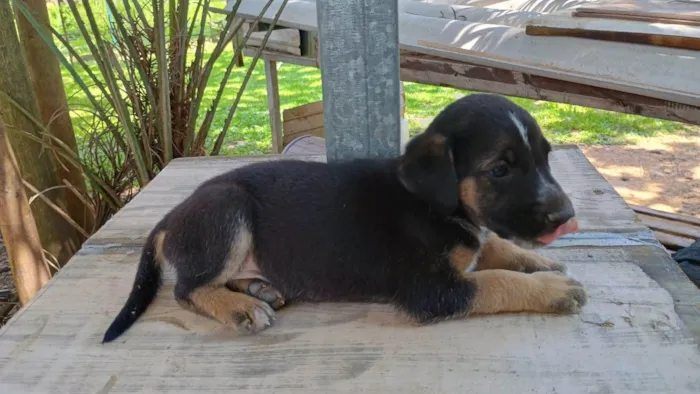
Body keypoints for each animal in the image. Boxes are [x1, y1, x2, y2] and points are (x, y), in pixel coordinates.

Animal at [104, 94, 584, 344]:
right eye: (499, 169)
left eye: (545, 157)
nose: (567, 216)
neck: (434, 203)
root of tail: (169, 218)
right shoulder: (430, 291)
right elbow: (497, 281)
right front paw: (553, 289)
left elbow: (495, 247)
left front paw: (540, 263)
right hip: (227, 206)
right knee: (187, 289)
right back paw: (242, 307)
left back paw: (260, 289)